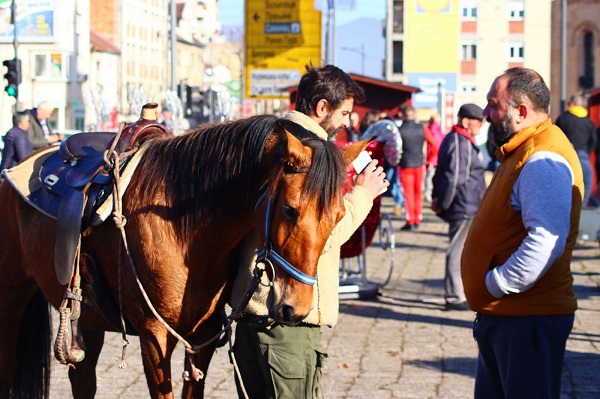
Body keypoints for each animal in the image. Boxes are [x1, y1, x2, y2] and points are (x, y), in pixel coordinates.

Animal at [0, 114, 368, 398]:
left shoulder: (202, 339)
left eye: (338, 217)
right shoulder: (154, 338)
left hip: (87, 321)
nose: (296, 307)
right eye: (291, 210)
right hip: (12, 299)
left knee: (82, 376)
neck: (183, 229)